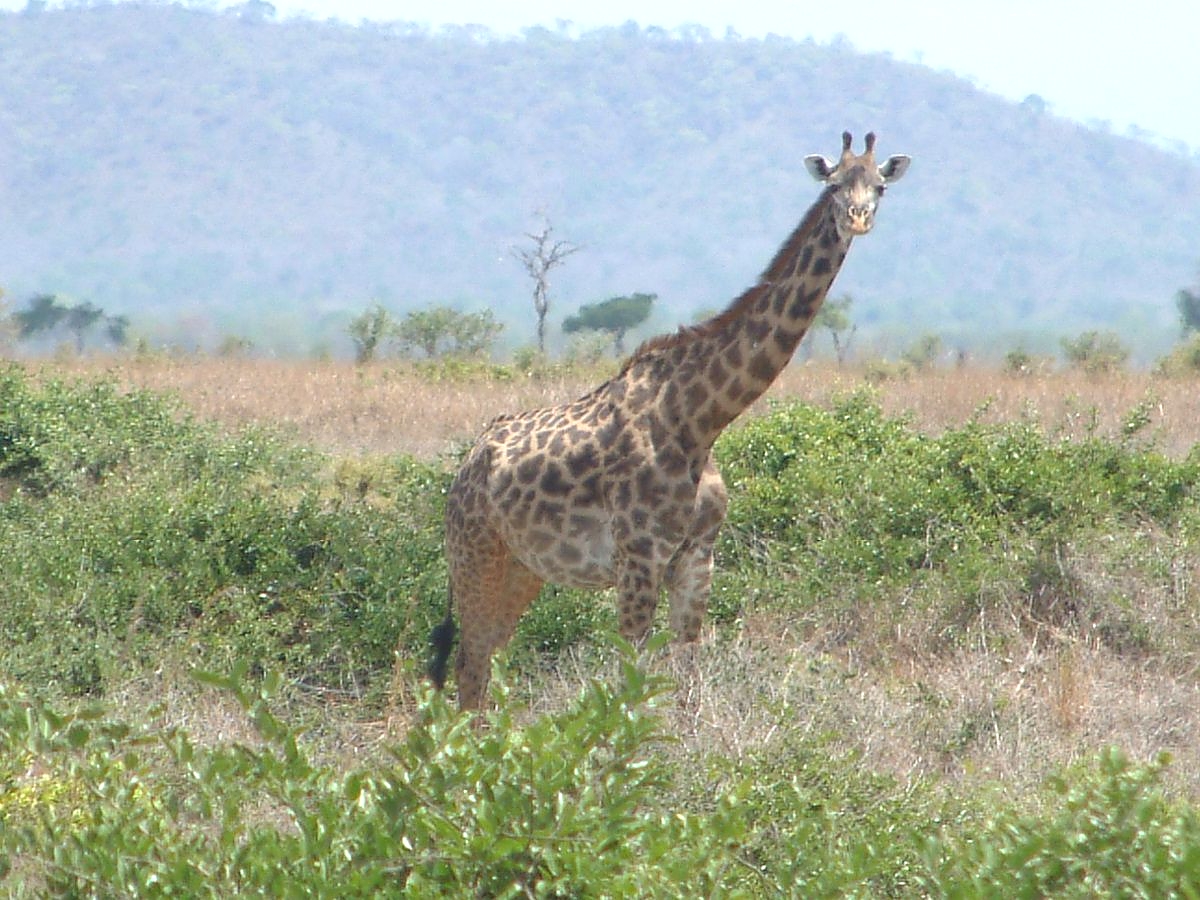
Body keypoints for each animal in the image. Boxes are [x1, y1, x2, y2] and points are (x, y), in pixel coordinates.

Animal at [431, 131, 910, 708]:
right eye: (835, 185)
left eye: (879, 186)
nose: (858, 218)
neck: (700, 420)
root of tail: (467, 465)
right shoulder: (638, 558)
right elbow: (631, 677)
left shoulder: (697, 558)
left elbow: (687, 678)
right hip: (474, 553)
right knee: (470, 660)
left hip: (522, 568)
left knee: (486, 657)